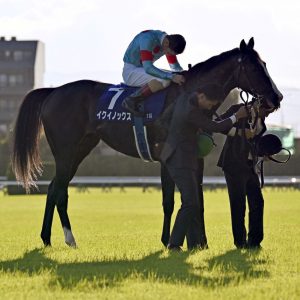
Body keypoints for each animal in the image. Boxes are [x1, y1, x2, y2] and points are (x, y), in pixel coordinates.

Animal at [12, 38, 284, 246]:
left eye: (265, 64)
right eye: (255, 68)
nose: (277, 97)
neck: (187, 97)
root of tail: (53, 91)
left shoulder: (195, 157)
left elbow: (196, 200)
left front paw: (199, 243)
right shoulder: (167, 157)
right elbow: (170, 201)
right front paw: (168, 241)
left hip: (80, 149)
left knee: (53, 189)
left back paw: (47, 238)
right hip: (66, 152)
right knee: (59, 191)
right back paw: (70, 238)